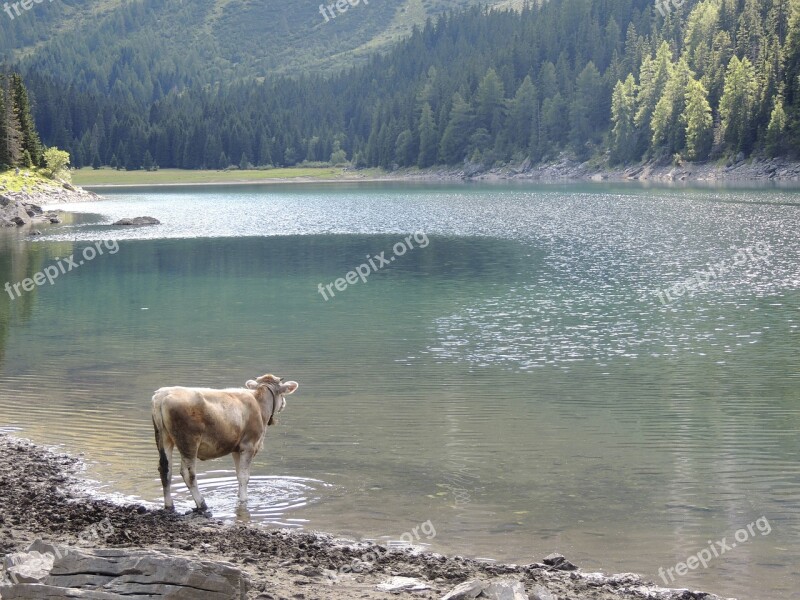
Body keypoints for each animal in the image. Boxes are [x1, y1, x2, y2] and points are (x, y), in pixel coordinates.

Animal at [152, 376, 298, 510]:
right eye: (282, 393)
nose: (284, 403)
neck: (259, 403)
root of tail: (162, 394)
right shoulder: (249, 446)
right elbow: (244, 477)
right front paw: (244, 500)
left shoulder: (236, 449)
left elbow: (238, 475)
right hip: (188, 441)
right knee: (188, 474)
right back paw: (202, 504)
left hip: (164, 438)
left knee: (165, 470)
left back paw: (169, 505)